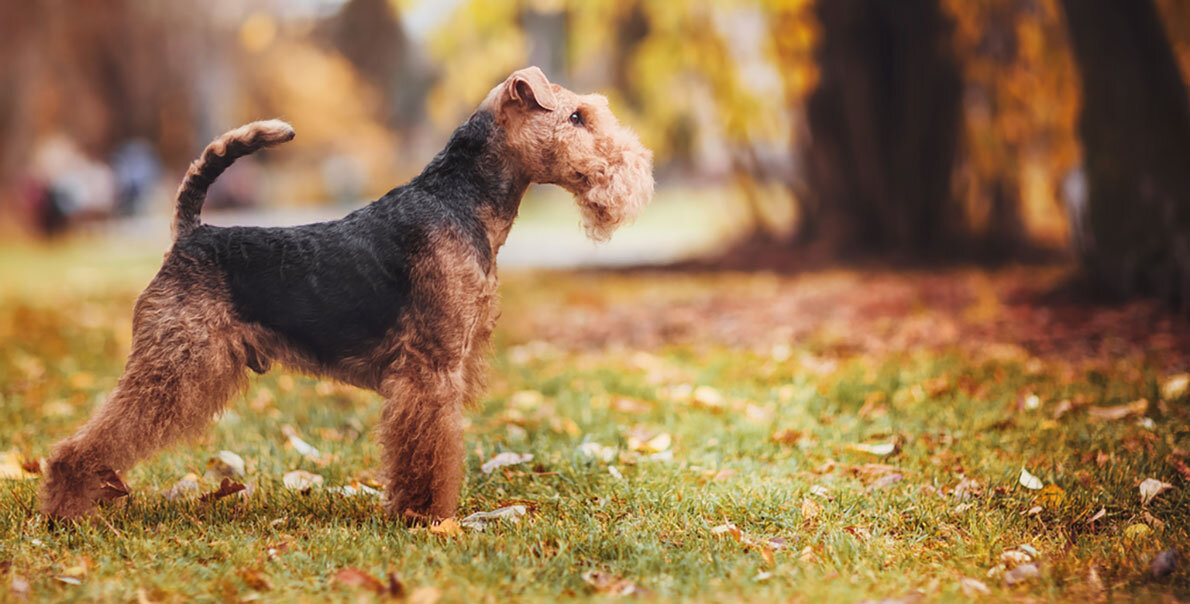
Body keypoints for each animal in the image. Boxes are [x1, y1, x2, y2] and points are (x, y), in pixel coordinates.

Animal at [39, 64, 652, 518]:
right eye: (576, 116)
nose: (639, 169)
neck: (459, 200)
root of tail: (190, 233)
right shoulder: (430, 368)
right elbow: (429, 450)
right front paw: (428, 517)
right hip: (176, 360)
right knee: (85, 440)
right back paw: (68, 509)